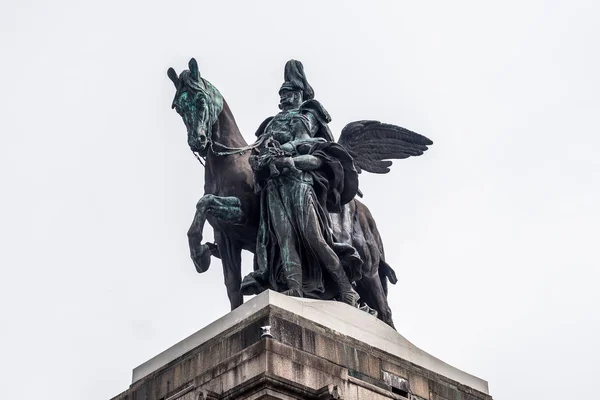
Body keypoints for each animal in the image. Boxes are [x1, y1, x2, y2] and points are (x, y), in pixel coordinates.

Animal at [166, 60, 398, 328]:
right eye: (179, 107)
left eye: (201, 100)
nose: (198, 141)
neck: (227, 164)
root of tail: (365, 213)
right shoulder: (226, 237)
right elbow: (232, 287)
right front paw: (201, 254)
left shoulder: (244, 212)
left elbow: (205, 202)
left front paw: (200, 256)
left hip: (369, 272)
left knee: (385, 312)